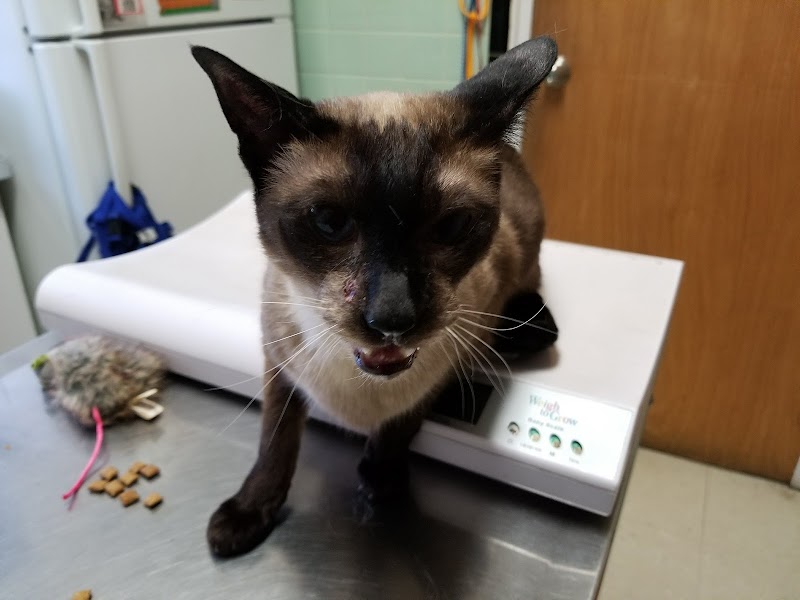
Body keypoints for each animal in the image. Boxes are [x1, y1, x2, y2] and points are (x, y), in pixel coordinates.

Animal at [192, 36, 559, 557]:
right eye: (328, 221)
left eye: (451, 226)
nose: (392, 316)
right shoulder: (278, 361)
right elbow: (275, 438)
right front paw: (247, 514)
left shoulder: (452, 358)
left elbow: (404, 418)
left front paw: (380, 482)